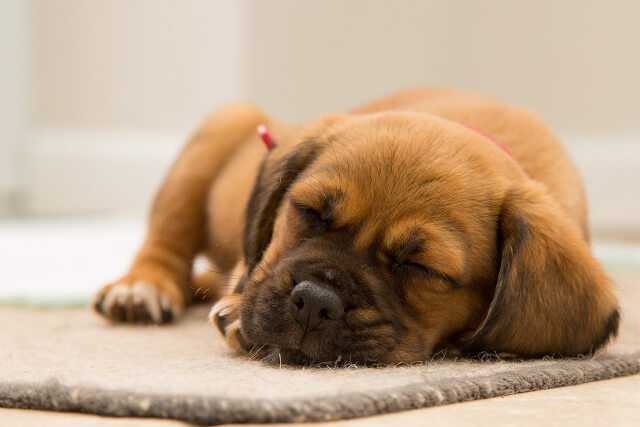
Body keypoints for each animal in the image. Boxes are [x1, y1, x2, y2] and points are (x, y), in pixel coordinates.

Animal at [94, 88, 620, 366]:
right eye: (308, 212)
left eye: (421, 268)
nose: (314, 302)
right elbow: (251, 267)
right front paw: (238, 309)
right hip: (217, 135)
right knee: (166, 242)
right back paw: (142, 287)